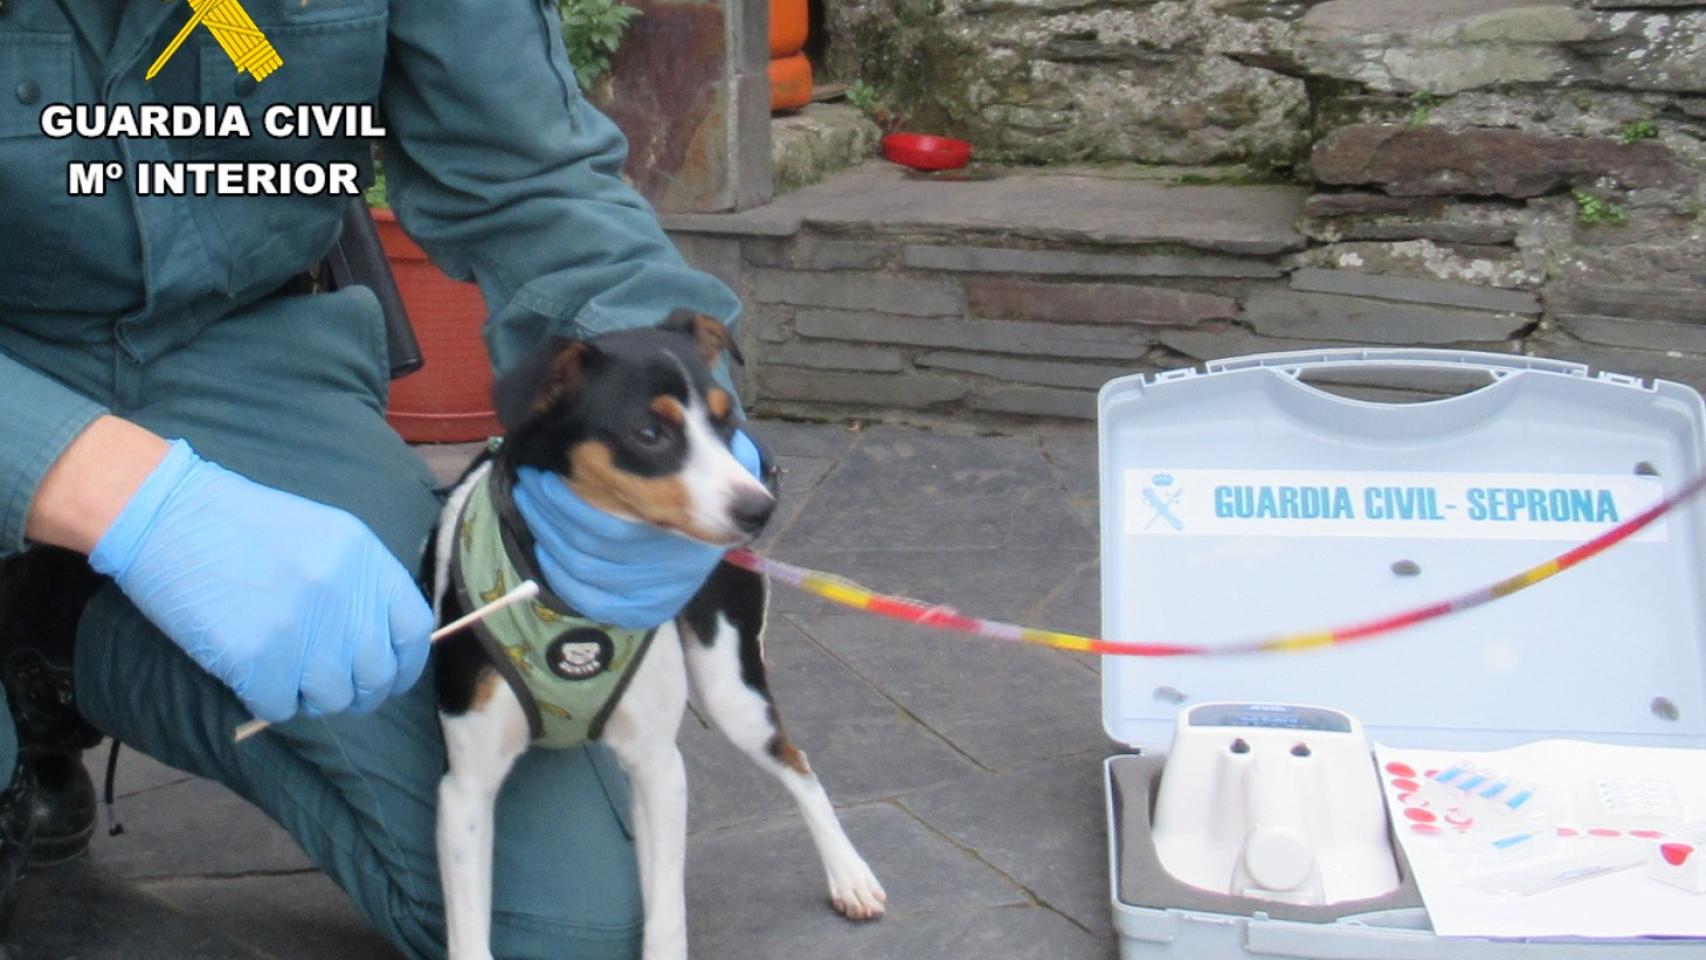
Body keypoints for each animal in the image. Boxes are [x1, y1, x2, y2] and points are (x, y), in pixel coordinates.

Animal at [426, 312, 887, 954]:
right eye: (649, 432)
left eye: (724, 421)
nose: (759, 508)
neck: (575, 600)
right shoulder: (465, 787)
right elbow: (469, 937)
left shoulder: (658, 766)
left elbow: (666, 913)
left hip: (733, 686)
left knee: (795, 760)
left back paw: (849, 874)